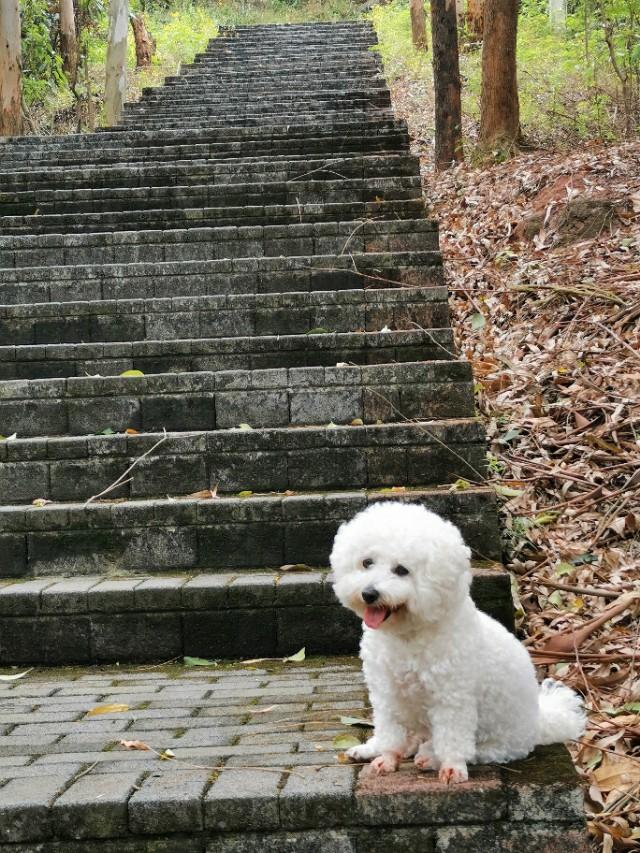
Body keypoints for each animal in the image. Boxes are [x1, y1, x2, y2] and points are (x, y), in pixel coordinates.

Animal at [330, 500, 584, 784]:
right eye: (366, 563)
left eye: (402, 570)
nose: (369, 593)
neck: (408, 635)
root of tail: (541, 722)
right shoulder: (388, 693)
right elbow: (390, 731)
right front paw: (387, 757)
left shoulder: (451, 697)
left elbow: (452, 738)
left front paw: (451, 766)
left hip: (501, 741)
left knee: (475, 750)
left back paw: (430, 756)